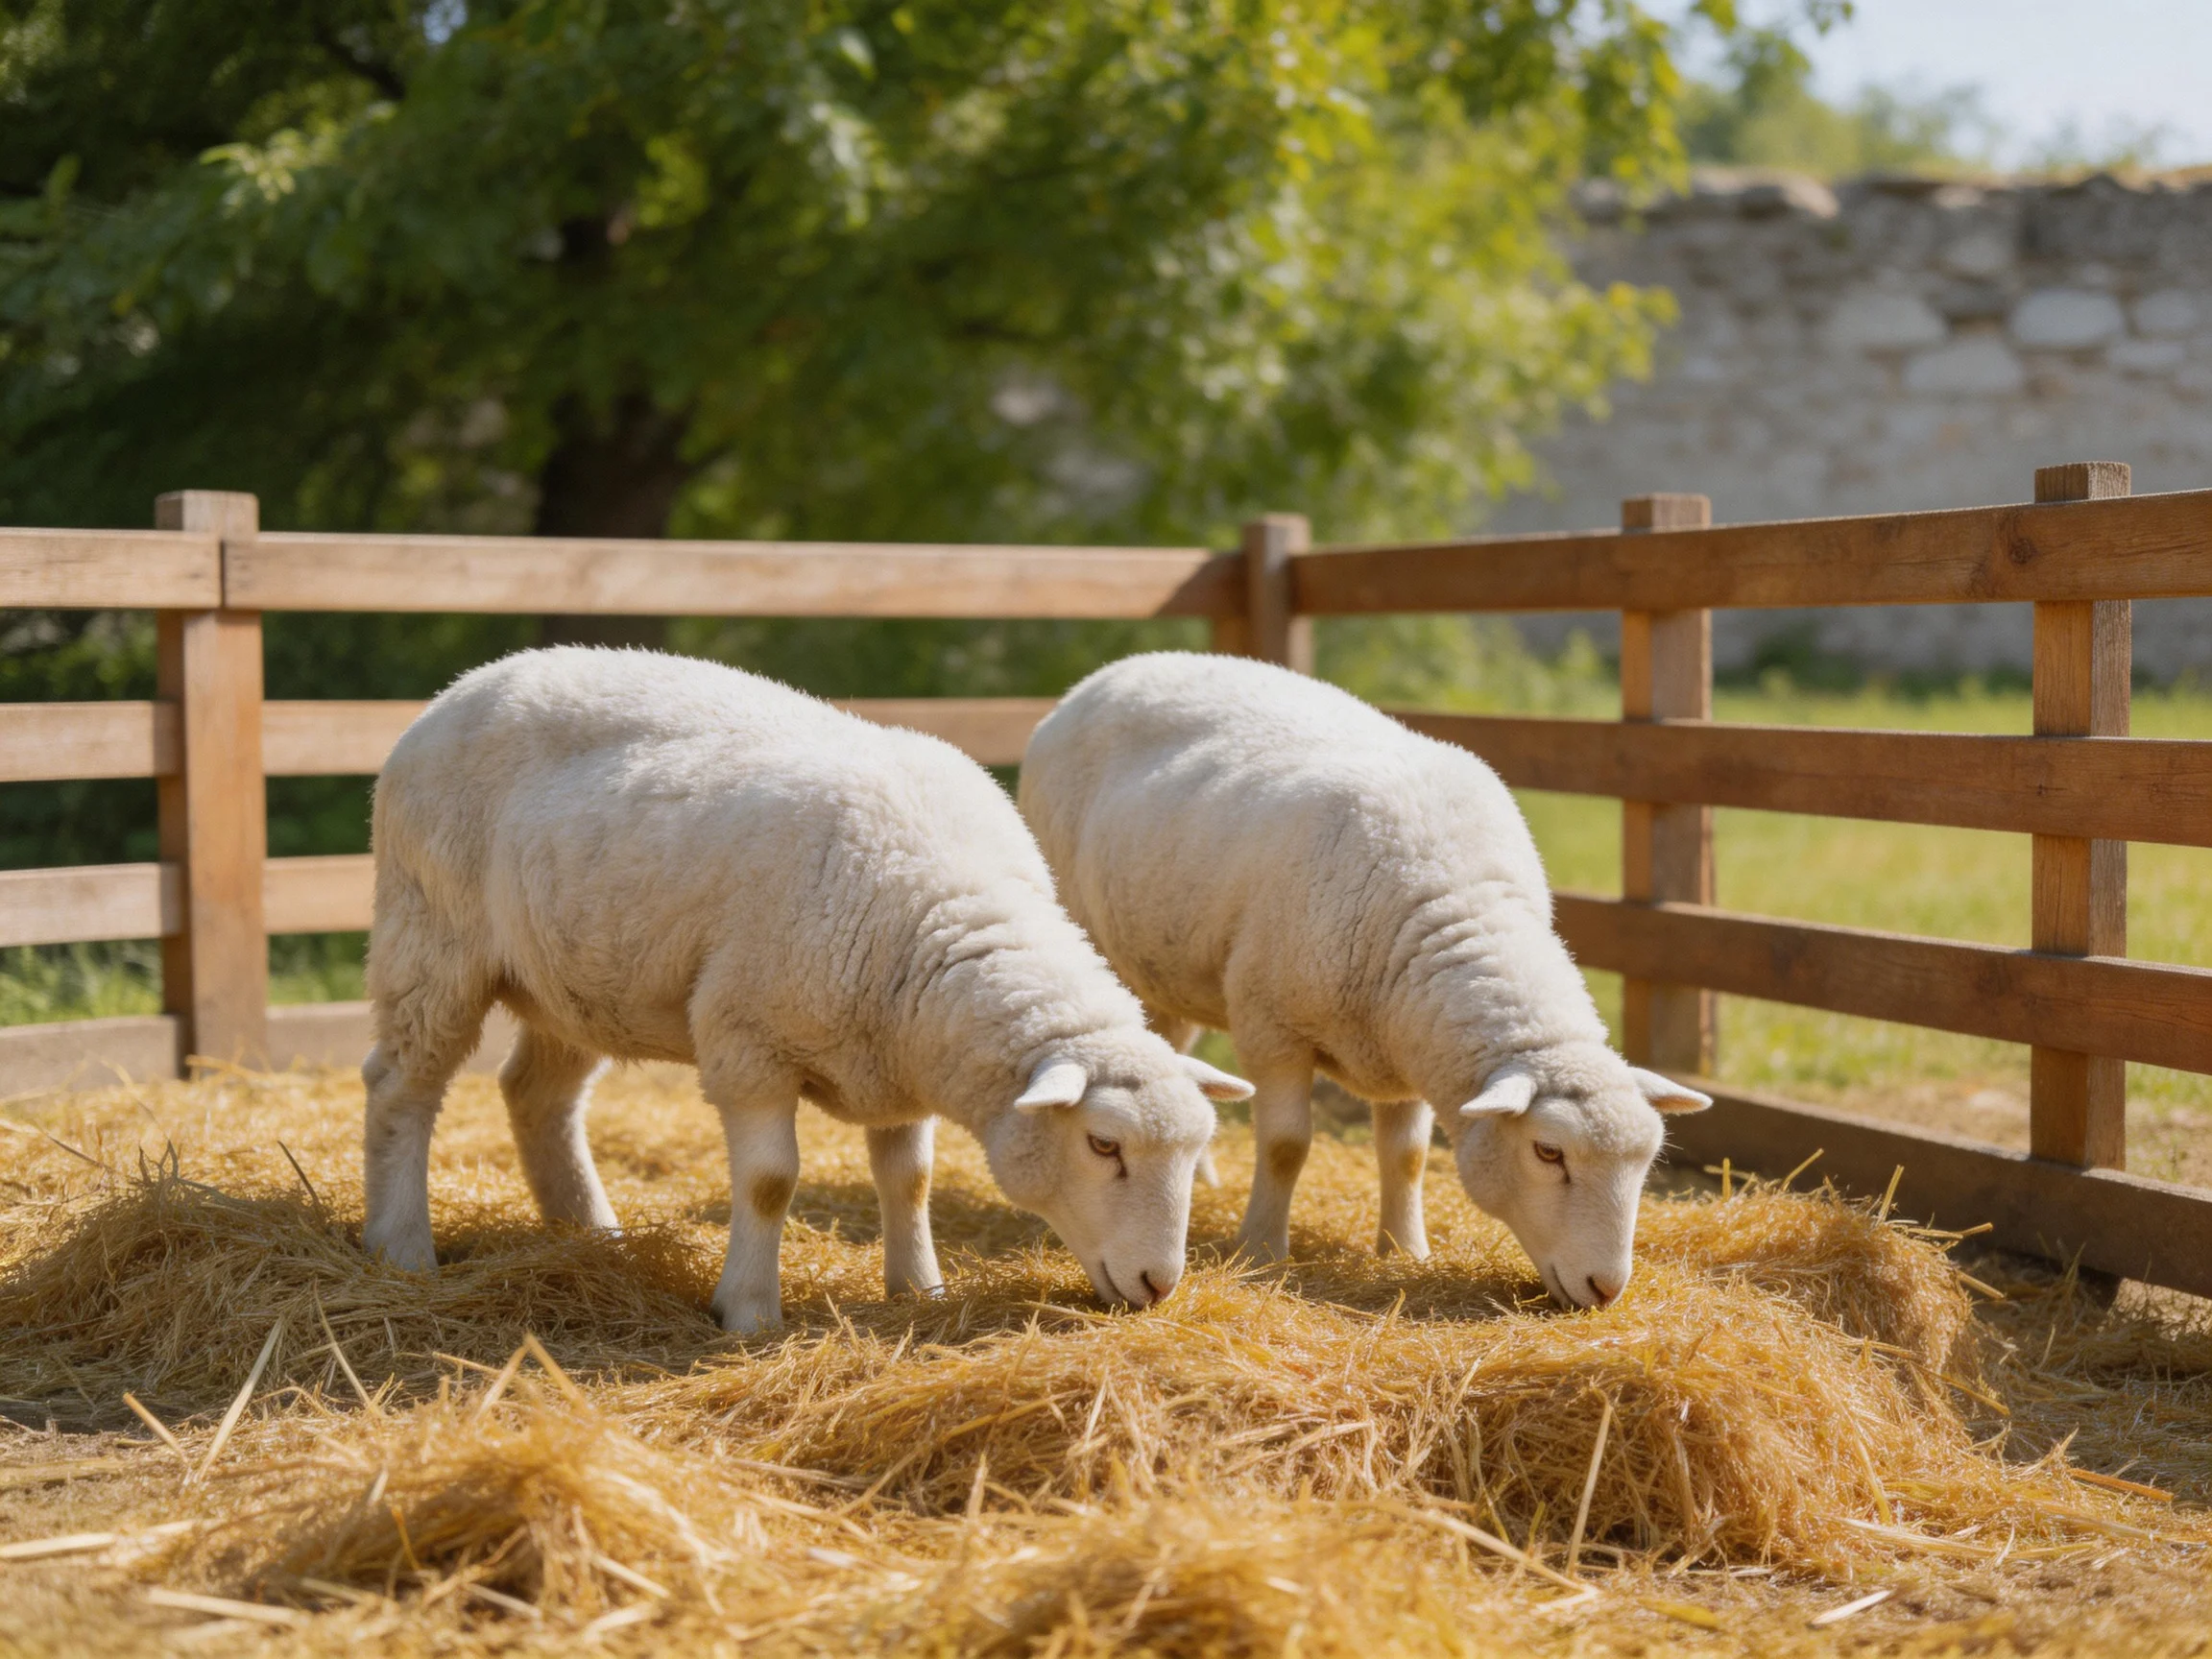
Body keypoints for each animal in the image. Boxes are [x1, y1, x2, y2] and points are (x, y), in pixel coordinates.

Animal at [359, 647, 1251, 1333]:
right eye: (1103, 1145)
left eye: (1196, 1151)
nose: (1159, 1286)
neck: (943, 911)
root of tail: (465, 685)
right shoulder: (748, 1041)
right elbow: (768, 1183)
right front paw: (749, 1310)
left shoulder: (898, 1059)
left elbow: (909, 1178)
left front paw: (920, 1287)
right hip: (432, 936)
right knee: (401, 1085)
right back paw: (400, 1246)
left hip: (576, 976)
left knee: (535, 1094)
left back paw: (589, 1230)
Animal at [1017, 651, 1709, 1309]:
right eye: (1548, 1151)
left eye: (1647, 1162)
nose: (1606, 1289)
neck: (1455, 898)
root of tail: (1115, 671)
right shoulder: (1272, 1025)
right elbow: (1286, 1146)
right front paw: (1262, 1249)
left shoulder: (1411, 1039)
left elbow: (1406, 1157)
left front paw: (1405, 1250)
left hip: (1165, 967)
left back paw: (1203, 1173)